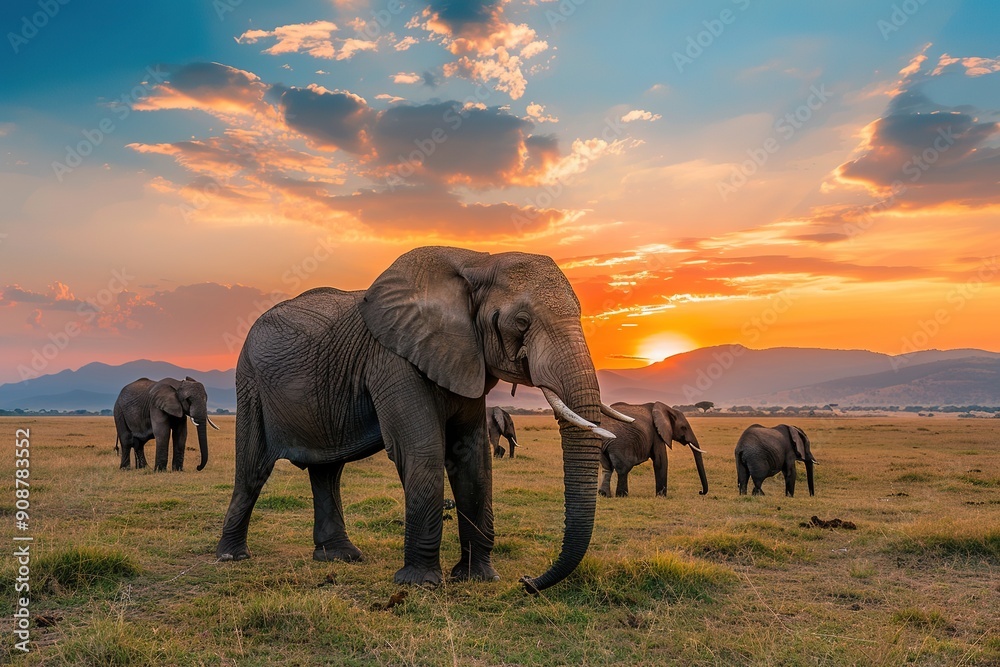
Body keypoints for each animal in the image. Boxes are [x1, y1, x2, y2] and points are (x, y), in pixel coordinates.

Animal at [215, 246, 632, 593]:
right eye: (522, 322)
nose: (527, 582)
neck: (478, 261)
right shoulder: (392, 360)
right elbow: (422, 450)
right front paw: (420, 584)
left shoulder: (465, 358)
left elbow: (472, 458)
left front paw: (477, 578)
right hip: (250, 382)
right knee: (253, 468)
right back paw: (232, 556)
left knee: (327, 471)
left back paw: (341, 557)